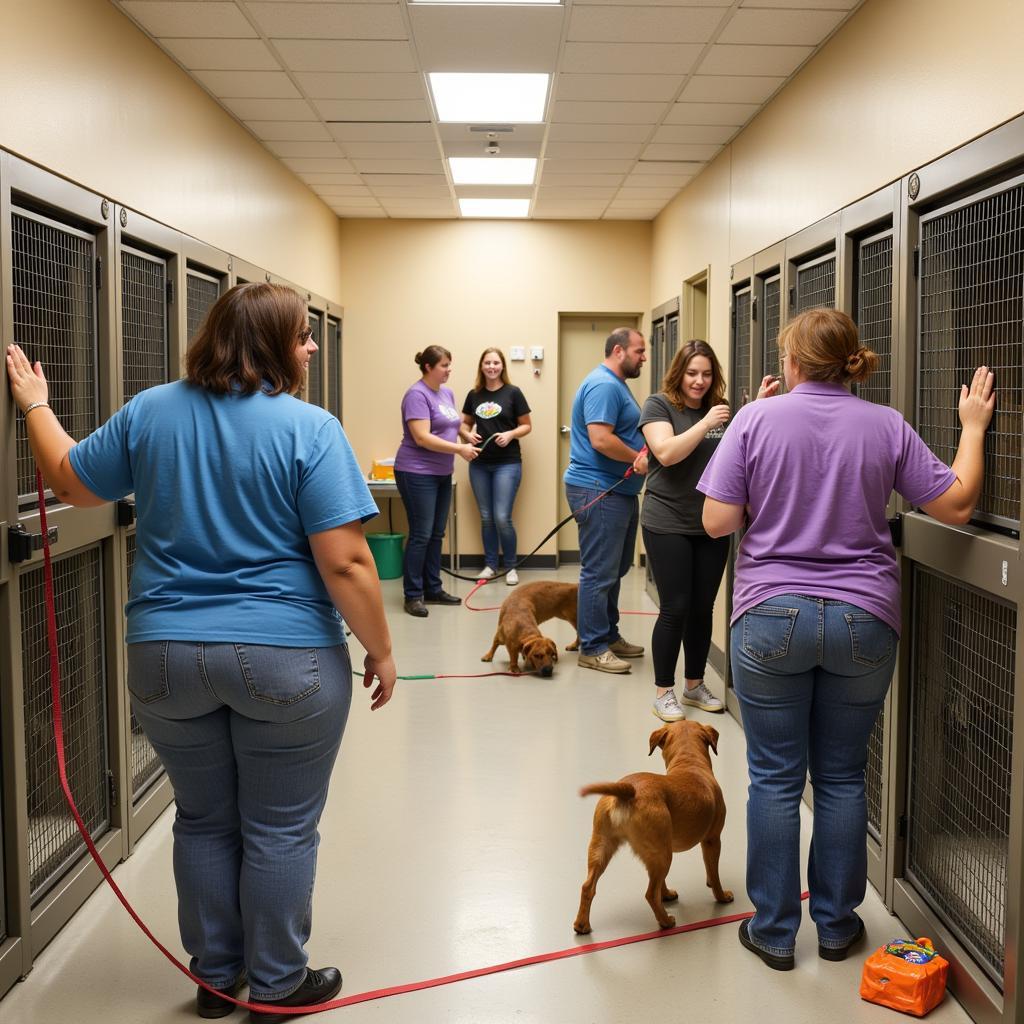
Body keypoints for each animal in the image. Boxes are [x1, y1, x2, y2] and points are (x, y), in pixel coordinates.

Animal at [573, 720, 733, 937]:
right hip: (662, 854)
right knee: (649, 894)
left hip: (605, 848)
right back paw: (665, 921)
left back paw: (582, 925)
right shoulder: (712, 840)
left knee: (588, 886)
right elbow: (714, 874)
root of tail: (628, 791)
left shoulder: (664, 847)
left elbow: (665, 884)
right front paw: (721, 896)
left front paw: (666, 894)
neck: (691, 763)